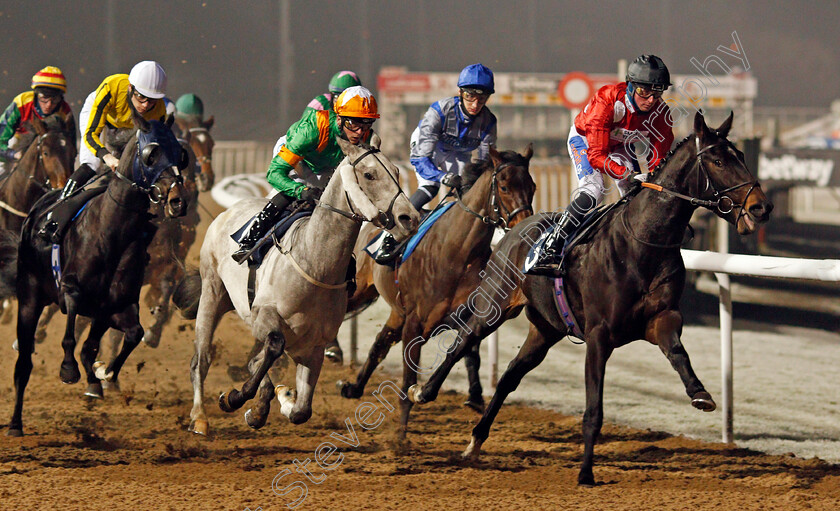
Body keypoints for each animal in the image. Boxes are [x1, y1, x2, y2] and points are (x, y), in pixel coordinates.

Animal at [2, 116, 187, 436]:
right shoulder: (71, 289)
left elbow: (127, 336)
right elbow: (70, 336)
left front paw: (104, 375)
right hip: (29, 297)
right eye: (151, 154)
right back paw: (15, 423)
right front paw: (69, 369)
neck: (112, 231)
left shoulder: (116, 305)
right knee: (23, 362)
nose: (177, 200)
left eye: (180, 153)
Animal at [174, 135, 420, 436]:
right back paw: (199, 417)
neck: (315, 263)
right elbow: (273, 347)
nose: (409, 218)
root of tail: (227, 211)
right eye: (369, 174)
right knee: (201, 359)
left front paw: (279, 400)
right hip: (212, 292)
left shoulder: (314, 345)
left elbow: (301, 411)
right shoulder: (263, 317)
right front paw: (233, 398)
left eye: (397, 172)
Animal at [334, 147, 532, 436]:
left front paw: (474, 396)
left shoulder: (465, 313)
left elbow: (469, 353)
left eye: (532, 187)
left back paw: (353, 387)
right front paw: (400, 436)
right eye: (504, 186)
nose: (525, 224)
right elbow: (408, 376)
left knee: (379, 344)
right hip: (361, 288)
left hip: (397, 311)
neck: (456, 253)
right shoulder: (415, 323)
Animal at [406, 113, 776, 488]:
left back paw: (475, 441)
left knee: (510, 376)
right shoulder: (599, 335)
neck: (642, 243)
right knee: (462, 342)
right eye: (717, 161)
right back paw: (423, 392)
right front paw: (585, 472)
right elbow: (593, 410)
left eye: (740, 156)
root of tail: (515, 227)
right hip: (493, 306)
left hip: (546, 329)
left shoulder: (661, 318)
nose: (761, 206)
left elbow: (677, 352)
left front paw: (700, 393)